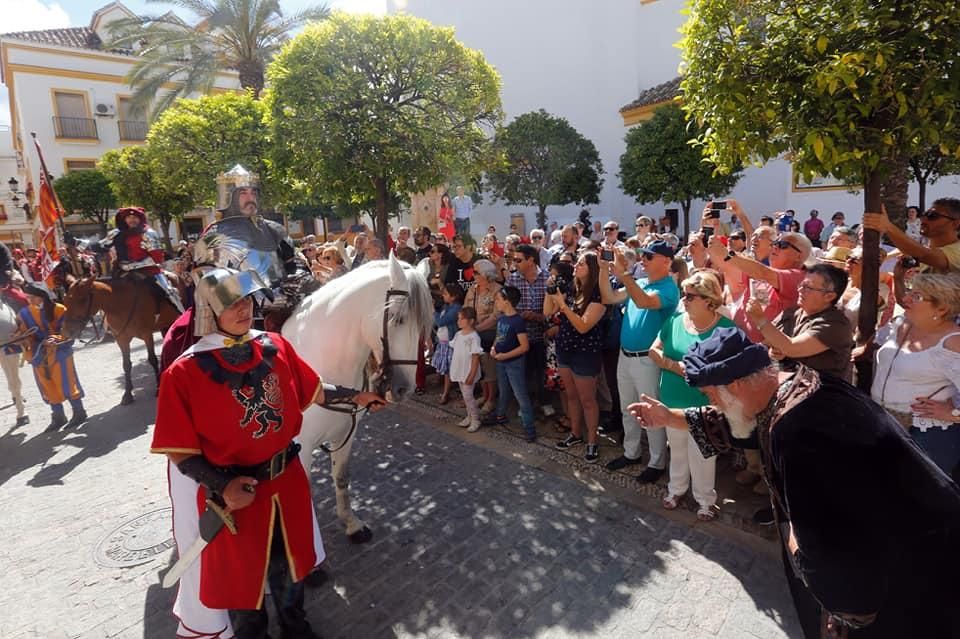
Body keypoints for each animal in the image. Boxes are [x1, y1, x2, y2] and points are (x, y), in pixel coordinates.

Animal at [62, 276, 184, 404]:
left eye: (82, 299)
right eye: (65, 300)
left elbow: (152, 359)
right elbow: (126, 365)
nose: (66, 331)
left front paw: (158, 387)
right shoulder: (122, 340)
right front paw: (128, 394)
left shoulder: (147, 335)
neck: (120, 304)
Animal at [282, 252, 432, 544]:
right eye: (397, 318)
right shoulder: (300, 448)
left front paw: (351, 523)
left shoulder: (346, 435)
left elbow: (341, 477)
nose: (405, 389)